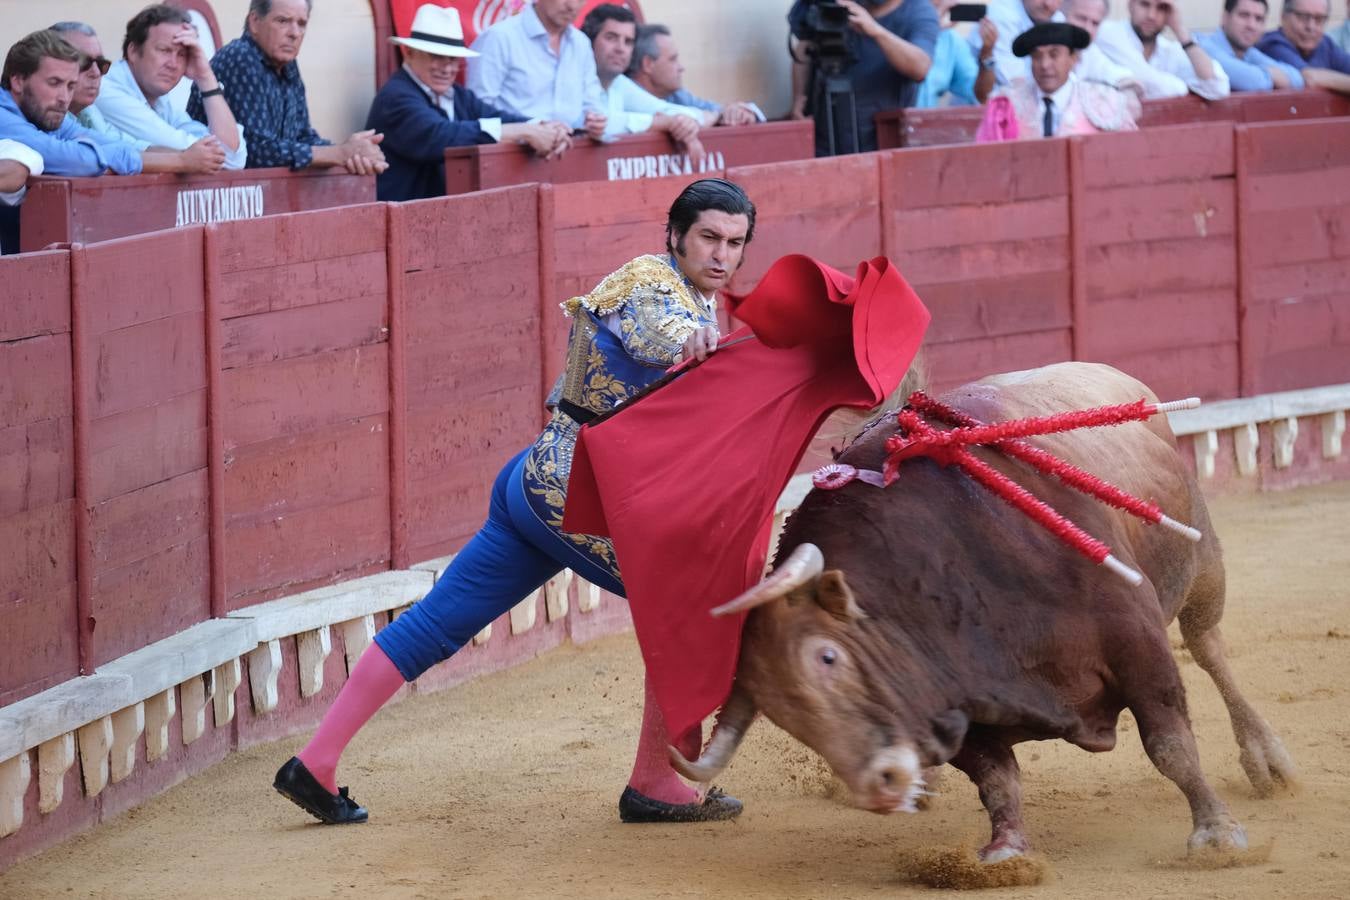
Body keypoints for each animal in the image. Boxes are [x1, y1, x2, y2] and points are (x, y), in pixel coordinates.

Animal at [675, 361, 1296, 863]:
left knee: (1209, 647)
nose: (881, 784)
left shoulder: (1137, 645)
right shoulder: (957, 700)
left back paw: (1268, 760)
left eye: (828, 657)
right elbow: (997, 780)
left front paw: (1216, 834)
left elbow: (1171, 746)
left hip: (1202, 563)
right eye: (780, 713)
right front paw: (1006, 851)